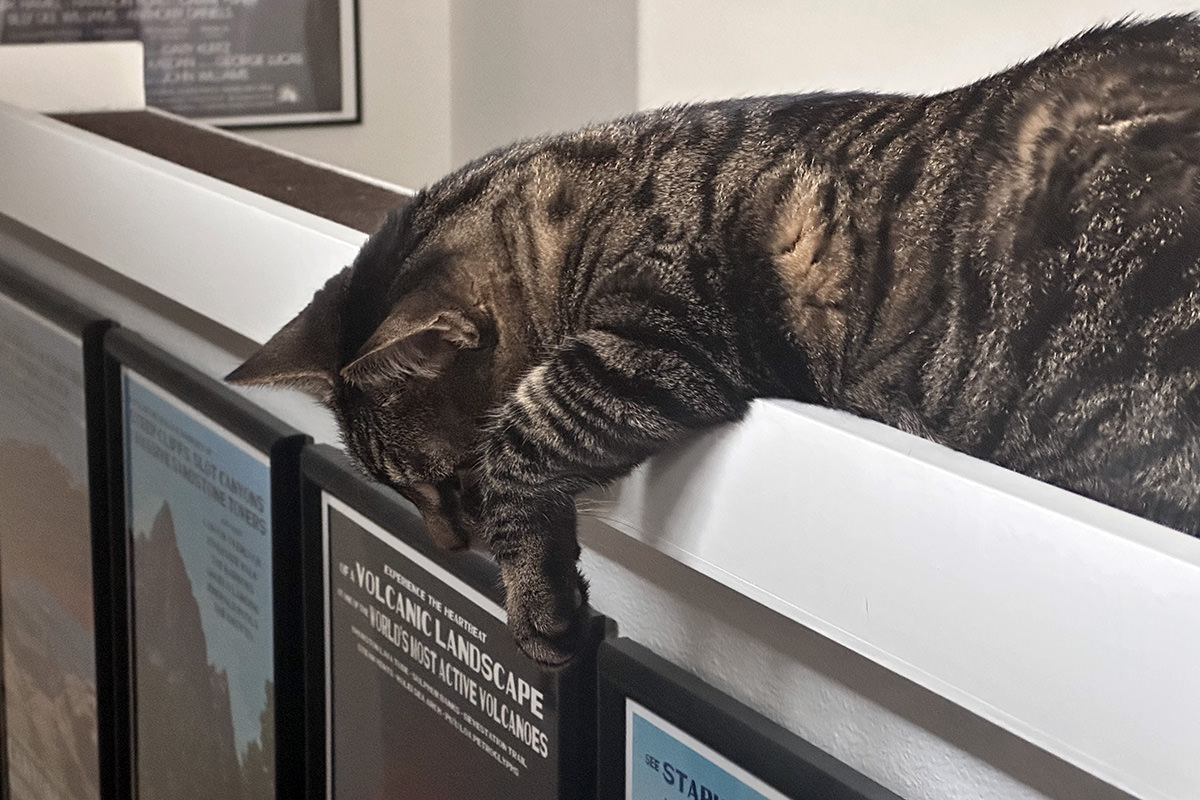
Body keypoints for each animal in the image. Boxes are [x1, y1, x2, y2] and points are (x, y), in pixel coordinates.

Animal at [229, 18, 1200, 666]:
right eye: (400, 490)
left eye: (445, 481)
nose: (445, 549)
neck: (576, 213)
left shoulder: (660, 343)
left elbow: (523, 436)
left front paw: (538, 602)